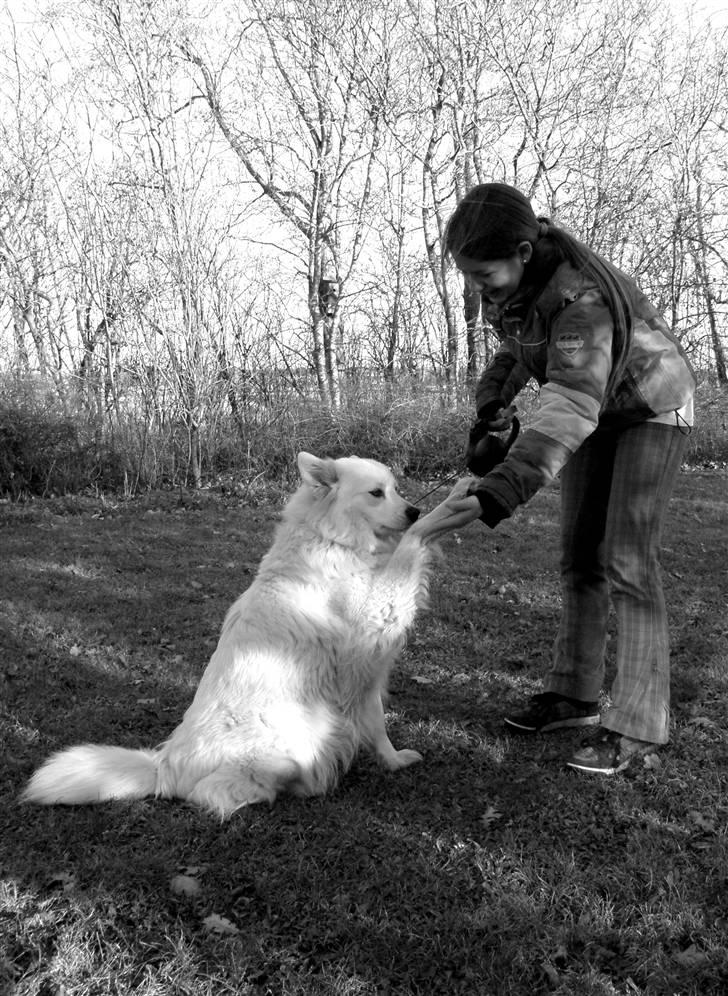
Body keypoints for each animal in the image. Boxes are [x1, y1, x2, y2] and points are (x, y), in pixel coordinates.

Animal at [22, 452, 458, 816]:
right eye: (376, 493)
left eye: (395, 488)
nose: (414, 509)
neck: (332, 539)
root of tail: (164, 766)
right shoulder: (369, 632)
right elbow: (409, 550)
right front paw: (443, 510)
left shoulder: (366, 672)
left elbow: (377, 724)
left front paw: (394, 761)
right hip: (285, 748)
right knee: (217, 792)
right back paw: (299, 785)